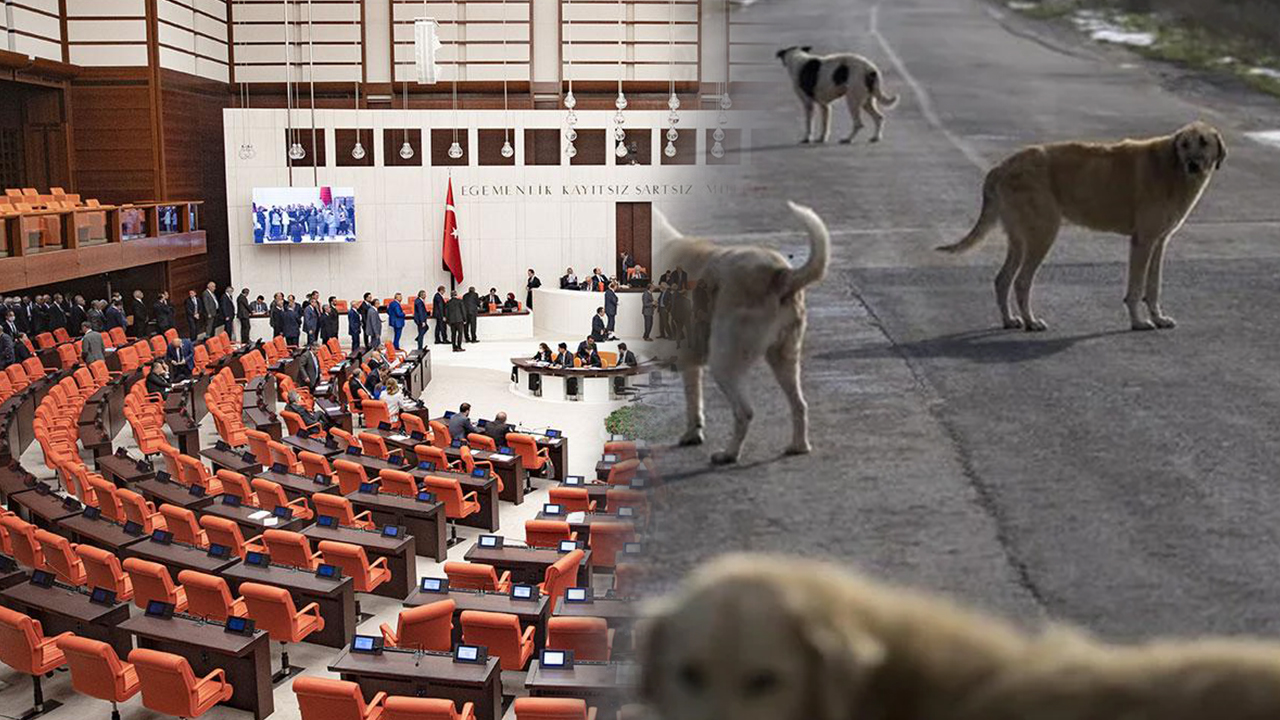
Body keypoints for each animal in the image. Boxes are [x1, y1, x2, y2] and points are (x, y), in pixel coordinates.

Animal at [660, 199, 829, 466]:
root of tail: (781, 274)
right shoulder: (688, 360)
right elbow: (693, 399)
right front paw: (692, 434)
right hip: (784, 358)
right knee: (799, 404)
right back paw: (798, 446)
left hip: (724, 364)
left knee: (745, 412)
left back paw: (729, 454)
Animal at [942, 121, 1228, 330]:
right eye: (1184, 144)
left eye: (1204, 142)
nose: (1192, 165)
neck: (1172, 168)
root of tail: (1000, 167)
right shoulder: (1143, 241)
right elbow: (1136, 288)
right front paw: (1138, 322)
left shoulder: (1159, 242)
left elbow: (1153, 286)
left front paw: (1158, 317)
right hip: (1042, 235)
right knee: (1022, 281)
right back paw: (1030, 321)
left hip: (1020, 238)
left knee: (1002, 279)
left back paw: (1011, 320)